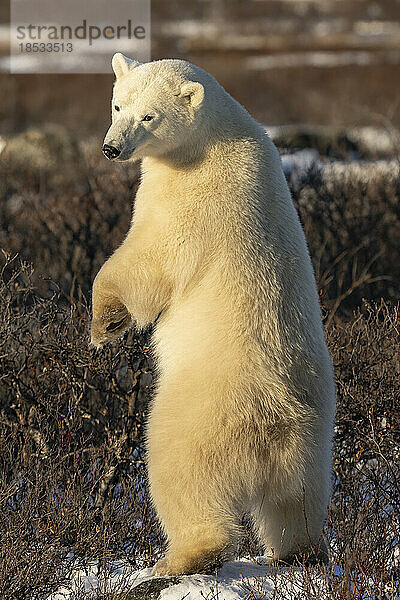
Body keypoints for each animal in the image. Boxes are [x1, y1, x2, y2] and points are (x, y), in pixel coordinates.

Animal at [90, 54, 334, 576]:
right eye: (118, 104)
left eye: (149, 116)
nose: (112, 149)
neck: (215, 133)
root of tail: (277, 424)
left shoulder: (191, 196)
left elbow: (149, 259)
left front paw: (105, 324)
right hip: (317, 438)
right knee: (297, 505)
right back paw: (299, 550)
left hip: (202, 416)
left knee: (180, 473)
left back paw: (182, 557)